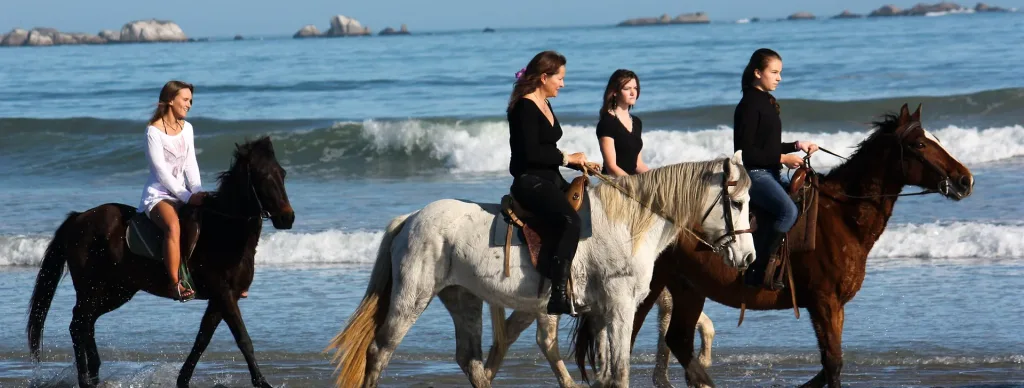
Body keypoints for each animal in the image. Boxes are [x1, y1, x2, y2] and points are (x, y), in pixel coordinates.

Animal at [25, 137, 296, 388]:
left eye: (282, 173)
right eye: (262, 176)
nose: (288, 218)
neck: (224, 231)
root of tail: (79, 218)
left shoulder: (221, 299)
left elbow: (202, 339)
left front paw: (183, 380)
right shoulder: (224, 294)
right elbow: (243, 339)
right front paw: (262, 382)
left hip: (117, 290)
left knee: (86, 323)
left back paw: (95, 373)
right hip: (92, 288)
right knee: (78, 323)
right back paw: (85, 379)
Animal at [323, 152, 757, 388]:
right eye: (736, 204)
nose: (750, 258)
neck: (628, 224)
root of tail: (411, 218)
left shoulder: (603, 313)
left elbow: (606, 372)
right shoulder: (618, 308)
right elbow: (618, 372)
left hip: (463, 299)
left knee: (471, 360)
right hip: (412, 297)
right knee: (380, 350)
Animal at [573, 104, 978, 386]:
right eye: (920, 144)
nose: (965, 180)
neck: (842, 217)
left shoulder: (831, 306)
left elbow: (829, 364)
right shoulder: (824, 302)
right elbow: (833, 364)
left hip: (688, 288)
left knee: (679, 340)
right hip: (645, 292)